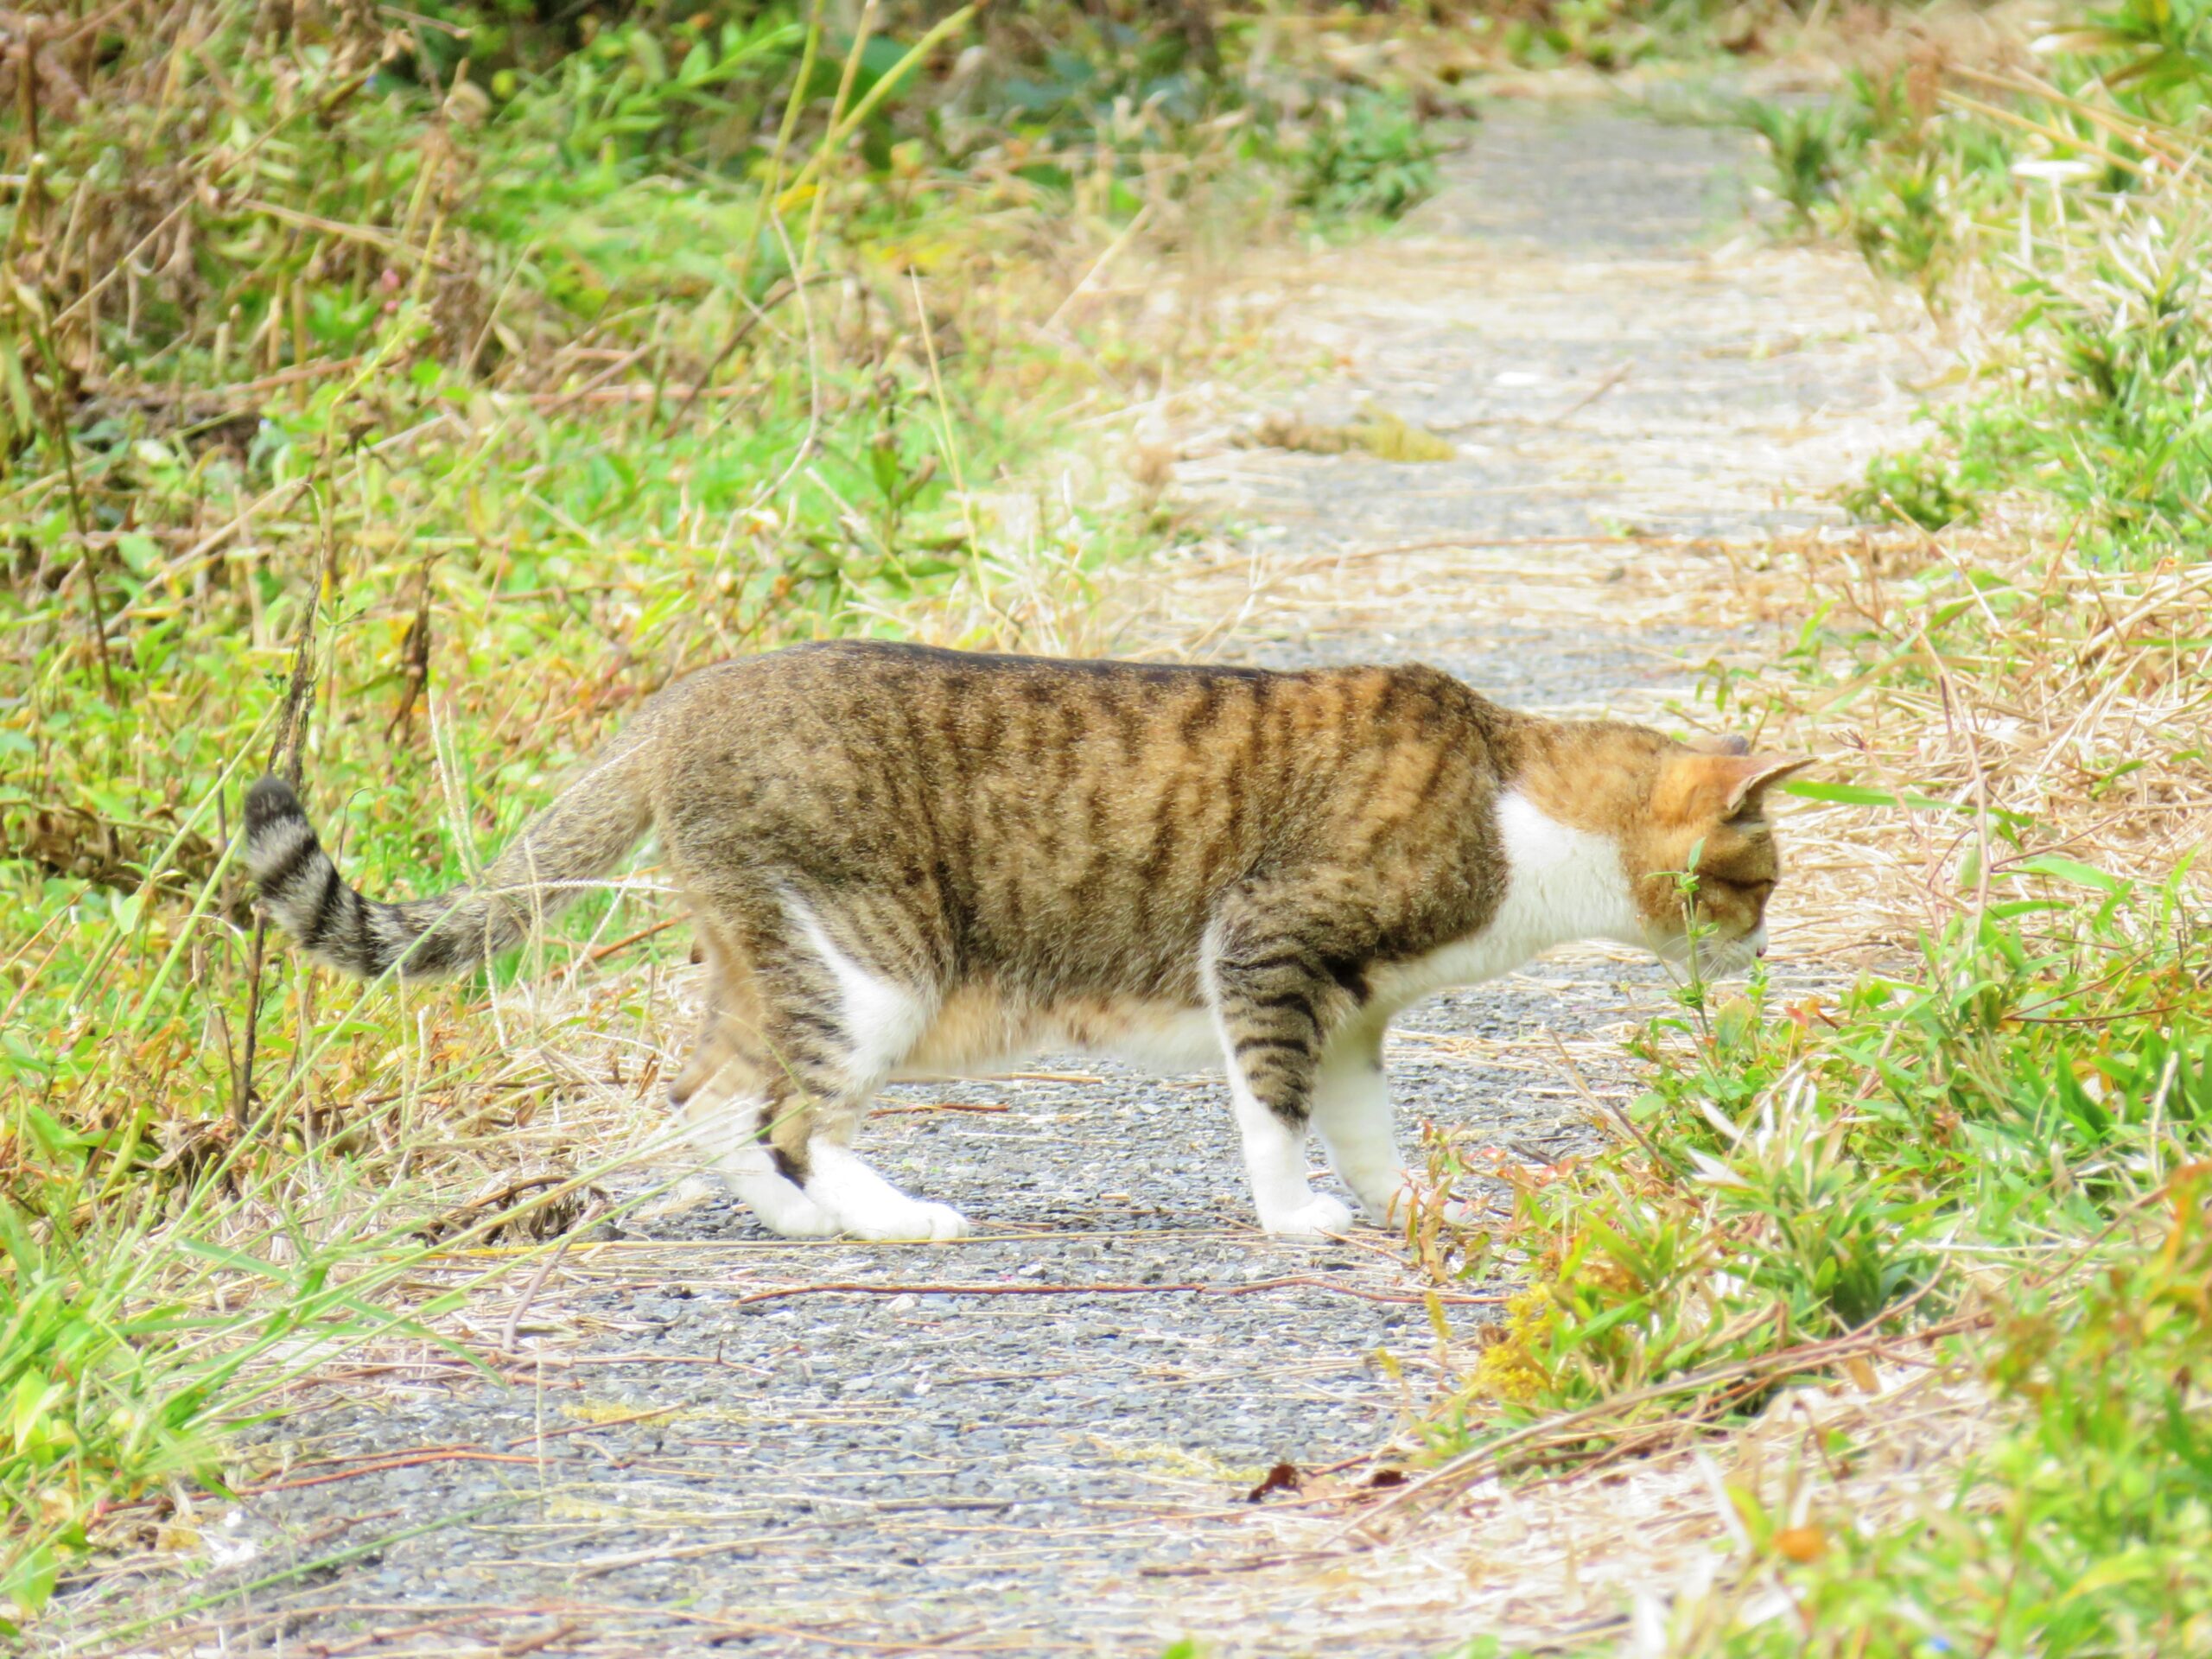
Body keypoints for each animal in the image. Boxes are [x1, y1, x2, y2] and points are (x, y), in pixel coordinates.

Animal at [246, 641, 1796, 1238]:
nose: (1766, 960)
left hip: (766, 959)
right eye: (1761, 887)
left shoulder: (1356, 1011)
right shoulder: (1271, 949)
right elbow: (1277, 1109)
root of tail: (693, 694)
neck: (1515, 800)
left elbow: (1364, 1122)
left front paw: (1401, 1200)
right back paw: (892, 1218)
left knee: (704, 1098)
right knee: (794, 1112)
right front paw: (1295, 1217)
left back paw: (801, 1224)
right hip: (874, 964)